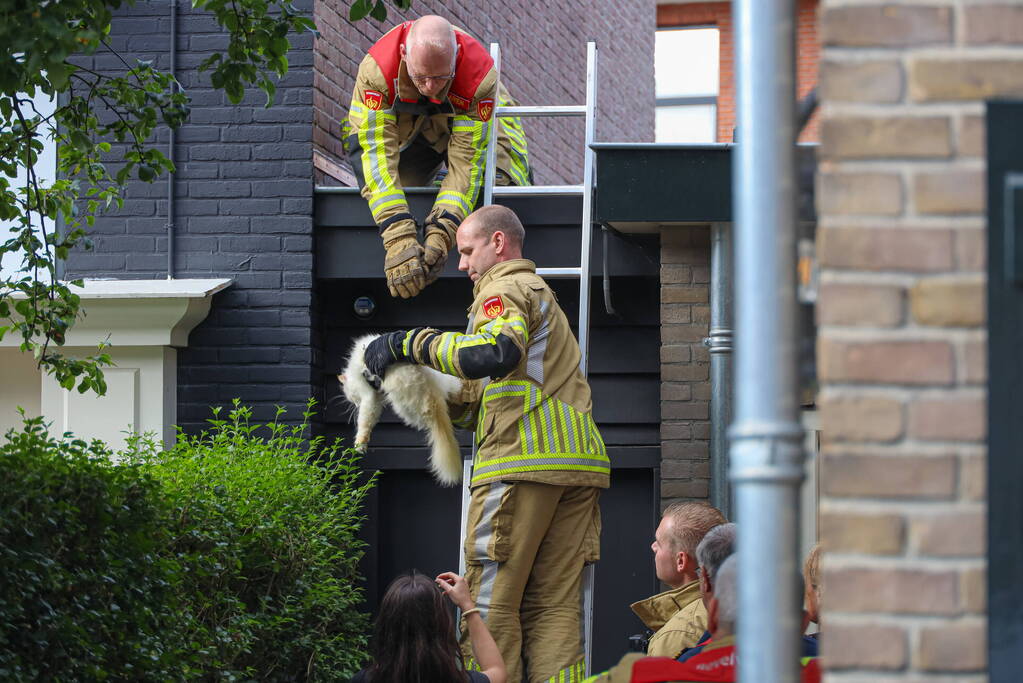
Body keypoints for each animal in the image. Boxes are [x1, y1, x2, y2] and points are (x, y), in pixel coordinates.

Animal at [337, 331, 462, 482]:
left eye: (352, 397)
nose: (356, 404)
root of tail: (433, 396)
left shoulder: (368, 396)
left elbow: (364, 422)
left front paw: (360, 444)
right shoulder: (374, 398)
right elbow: (370, 419)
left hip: (402, 404)